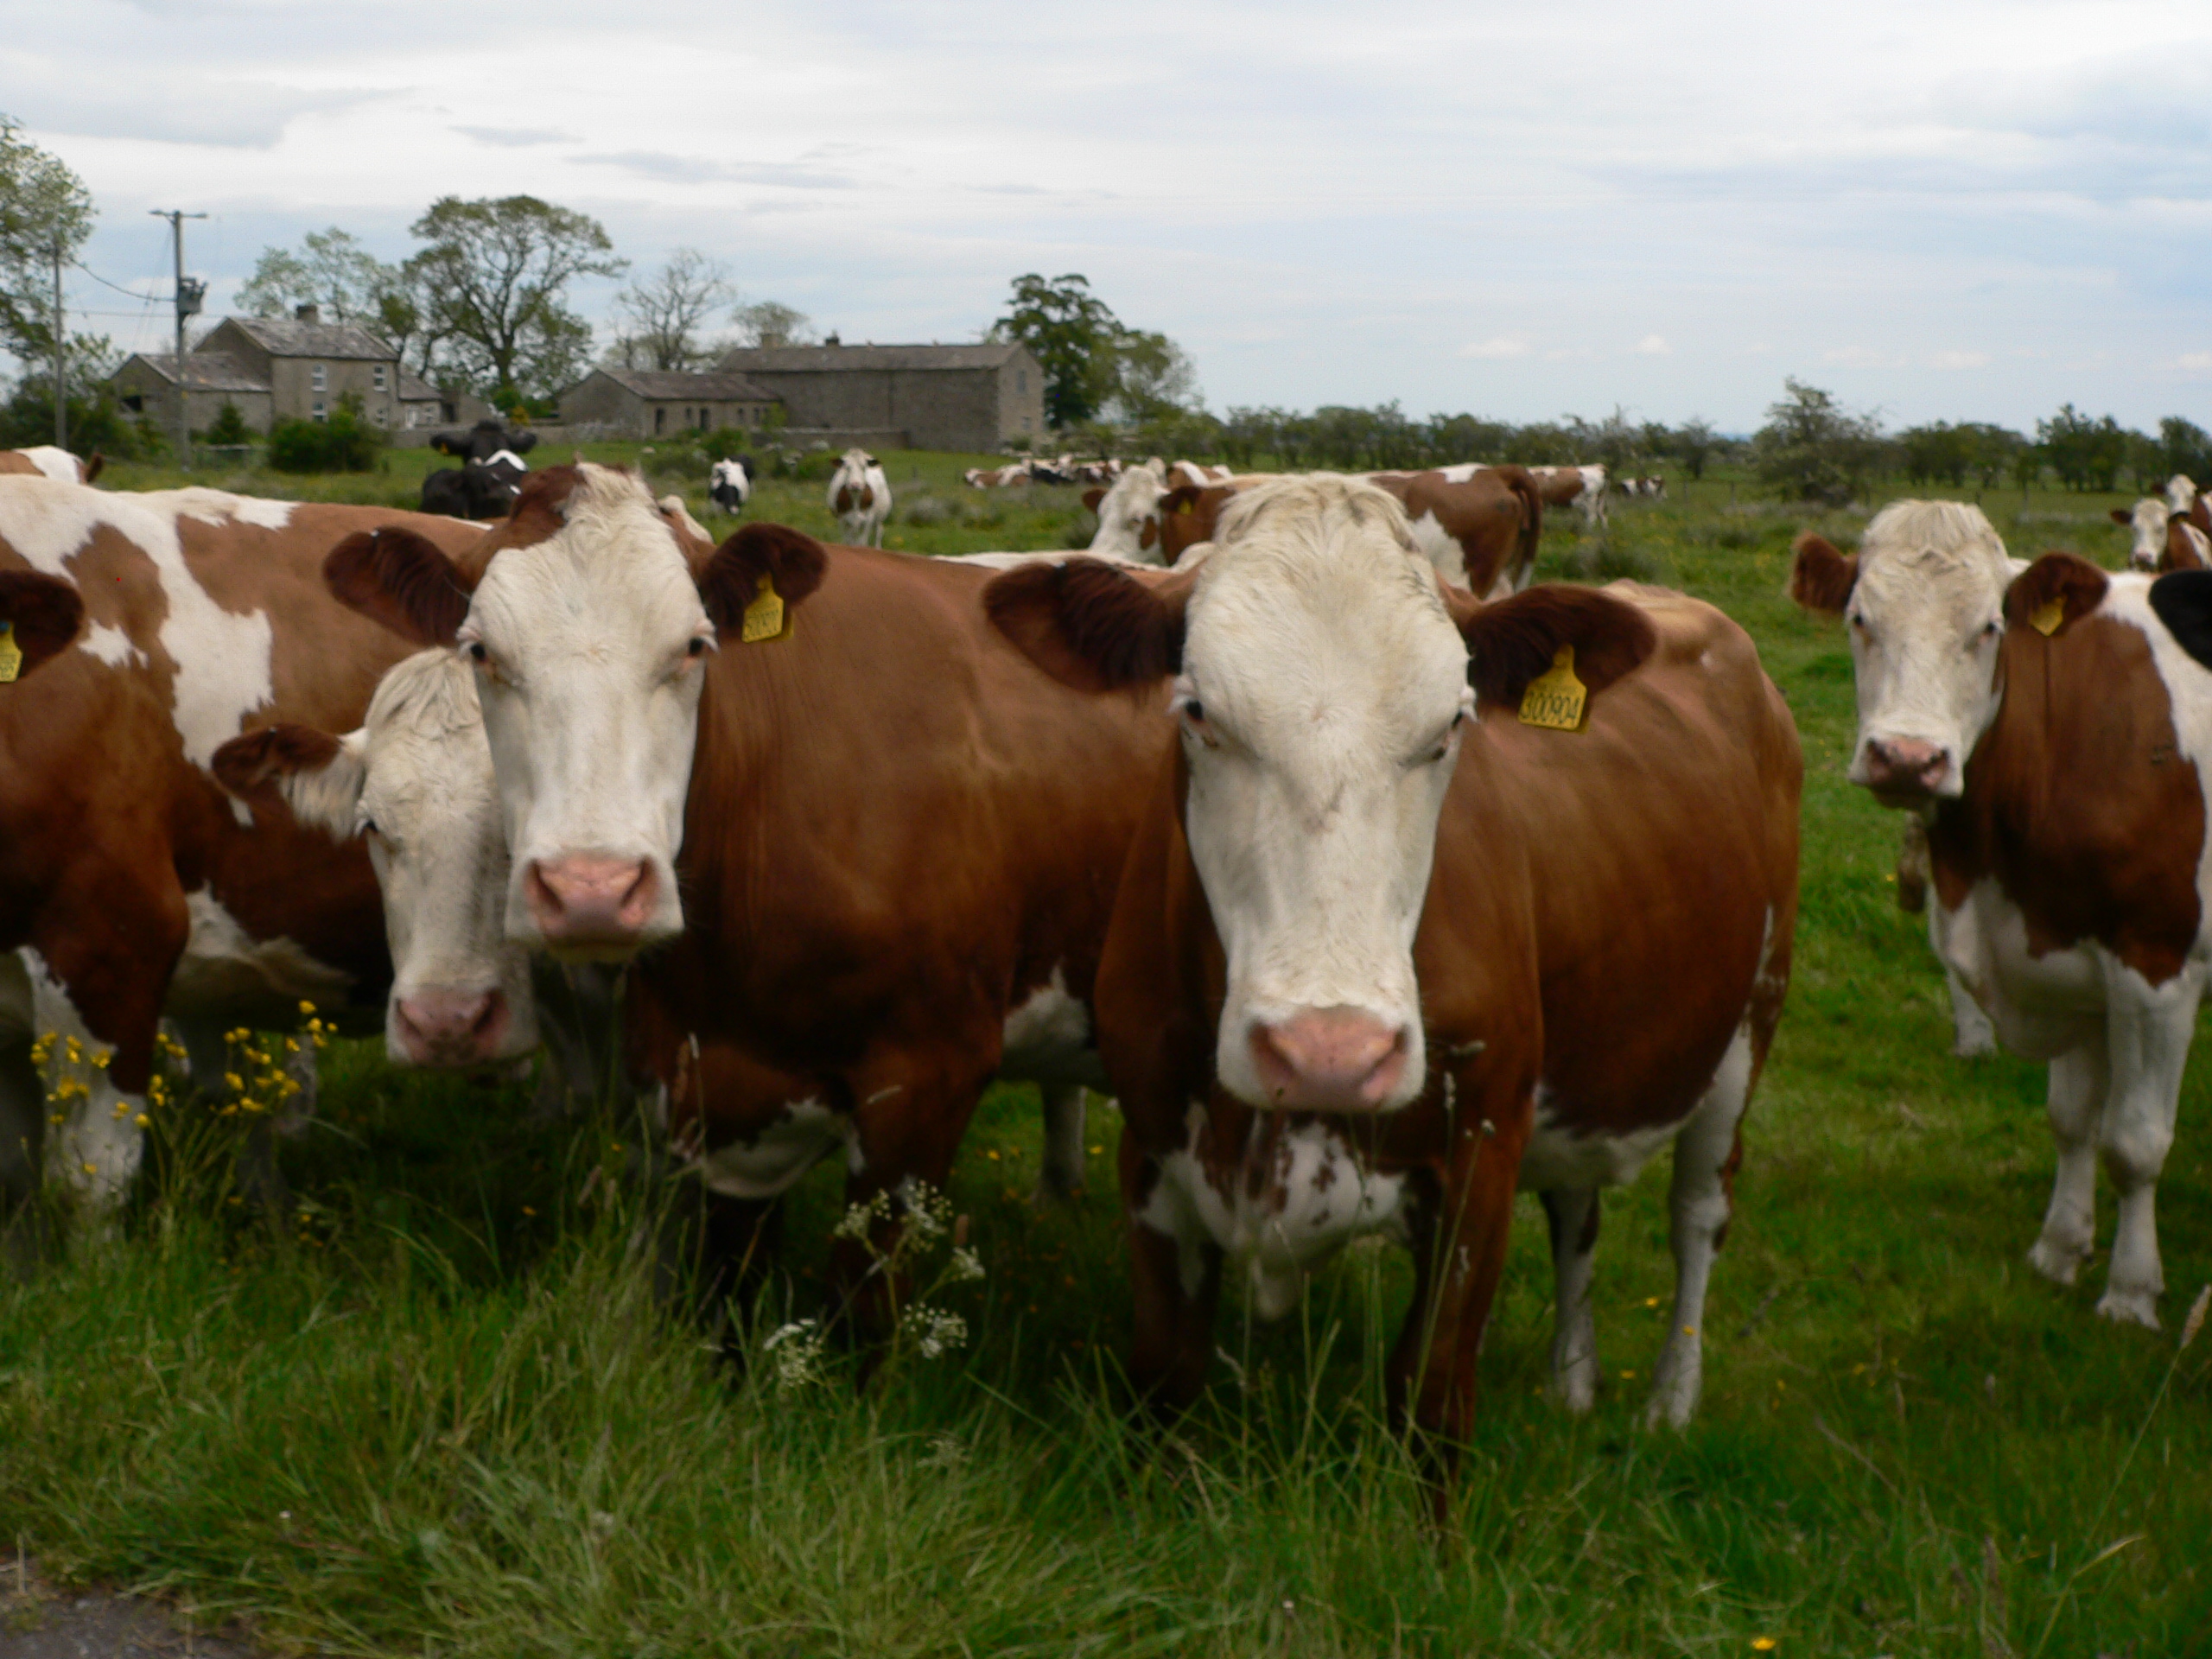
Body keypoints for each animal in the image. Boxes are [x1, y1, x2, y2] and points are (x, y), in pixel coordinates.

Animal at [317, 465, 1183, 1316]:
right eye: (480, 652)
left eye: (696, 646)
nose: (592, 890)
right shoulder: (715, 1098)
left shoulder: (927, 1082)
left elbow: (866, 1309)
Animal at [979, 476, 1799, 1491]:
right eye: (1197, 709)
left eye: (1452, 723)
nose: (1326, 1053)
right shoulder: (1153, 1147)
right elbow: (1163, 1385)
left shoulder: (1478, 1161)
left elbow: (1432, 1397)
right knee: (1576, 1206)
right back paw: (1572, 1379)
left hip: (1749, 1018)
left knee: (1697, 1213)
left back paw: (1669, 1401)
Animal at [1789, 498, 2212, 1328]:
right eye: (1859, 618)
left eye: (1989, 627)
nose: (1907, 758)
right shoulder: (2064, 953)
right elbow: (2073, 1120)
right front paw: (2060, 1248)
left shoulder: (2157, 963)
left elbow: (2135, 1141)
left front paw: (2131, 1292)